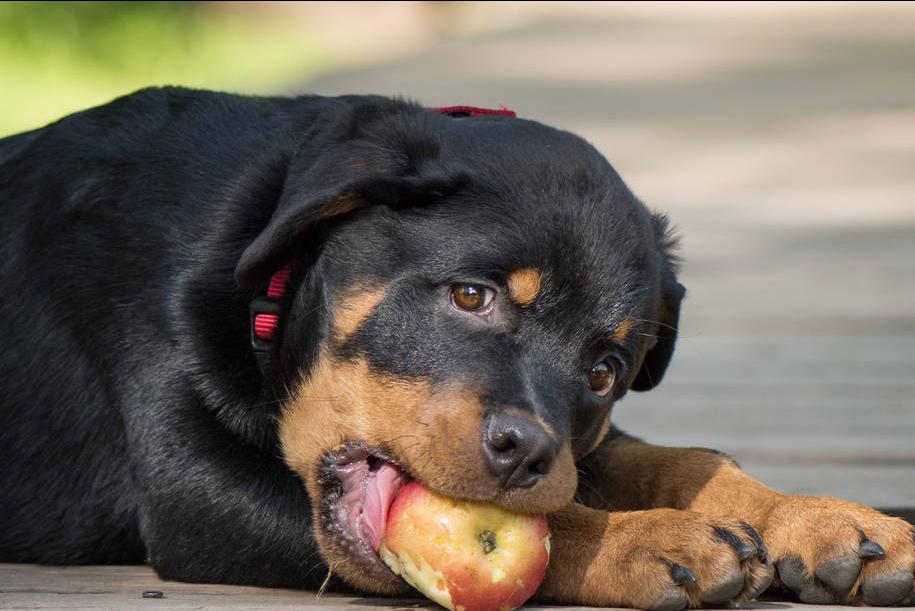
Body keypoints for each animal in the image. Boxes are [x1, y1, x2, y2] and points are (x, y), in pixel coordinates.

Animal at [0, 87, 912, 611]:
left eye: (604, 369)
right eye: (470, 296)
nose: (523, 452)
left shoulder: (582, 441)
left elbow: (680, 458)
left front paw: (831, 520)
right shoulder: (190, 484)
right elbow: (554, 527)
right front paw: (653, 539)